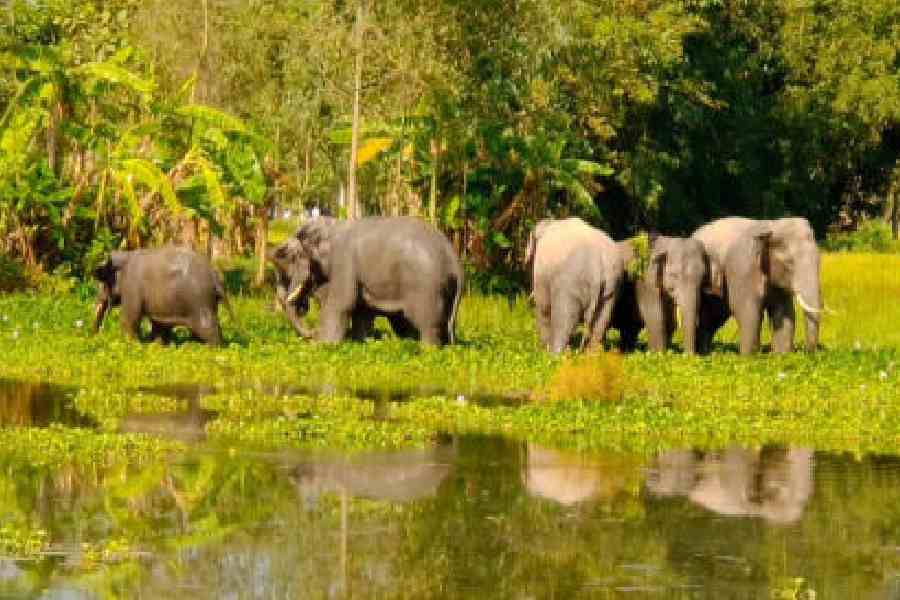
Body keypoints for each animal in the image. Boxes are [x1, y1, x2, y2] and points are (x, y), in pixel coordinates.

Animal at [93, 246, 237, 346]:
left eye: (102, 280)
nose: (96, 335)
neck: (125, 255)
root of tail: (216, 276)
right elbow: (159, 324)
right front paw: (156, 345)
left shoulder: (131, 288)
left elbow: (130, 317)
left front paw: (131, 344)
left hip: (200, 299)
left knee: (208, 327)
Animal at [269, 216, 463, 346]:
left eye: (290, 256)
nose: (311, 333)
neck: (333, 226)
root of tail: (454, 257)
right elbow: (362, 310)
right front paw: (361, 342)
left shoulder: (344, 262)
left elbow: (341, 303)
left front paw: (323, 345)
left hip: (426, 287)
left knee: (426, 322)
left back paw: (426, 349)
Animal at [525, 217, 626, 353]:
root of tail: (597, 264)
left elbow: (543, 307)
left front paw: (543, 349)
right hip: (612, 284)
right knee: (601, 319)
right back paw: (592, 355)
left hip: (570, 282)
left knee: (563, 317)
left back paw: (555, 354)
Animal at [692, 217, 822, 355]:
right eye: (789, 262)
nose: (807, 352)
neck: (771, 225)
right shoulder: (743, 267)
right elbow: (747, 309)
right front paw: (750, 357)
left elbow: (784, 312)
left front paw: (781, 355)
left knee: (713, 319)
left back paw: (705, 352)